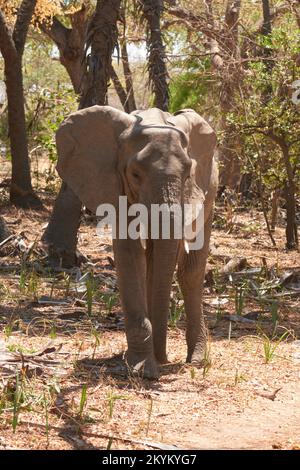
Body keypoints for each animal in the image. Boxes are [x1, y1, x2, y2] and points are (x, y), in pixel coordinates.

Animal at [55, 106, 218, 378]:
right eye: (135, 174)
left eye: (188, 174)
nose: (163, 359)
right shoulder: (112, 184)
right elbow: (130, 254)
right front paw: (143, 369)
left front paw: (146, 366)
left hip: (211, 191)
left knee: (190, 271)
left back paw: (195, 360)